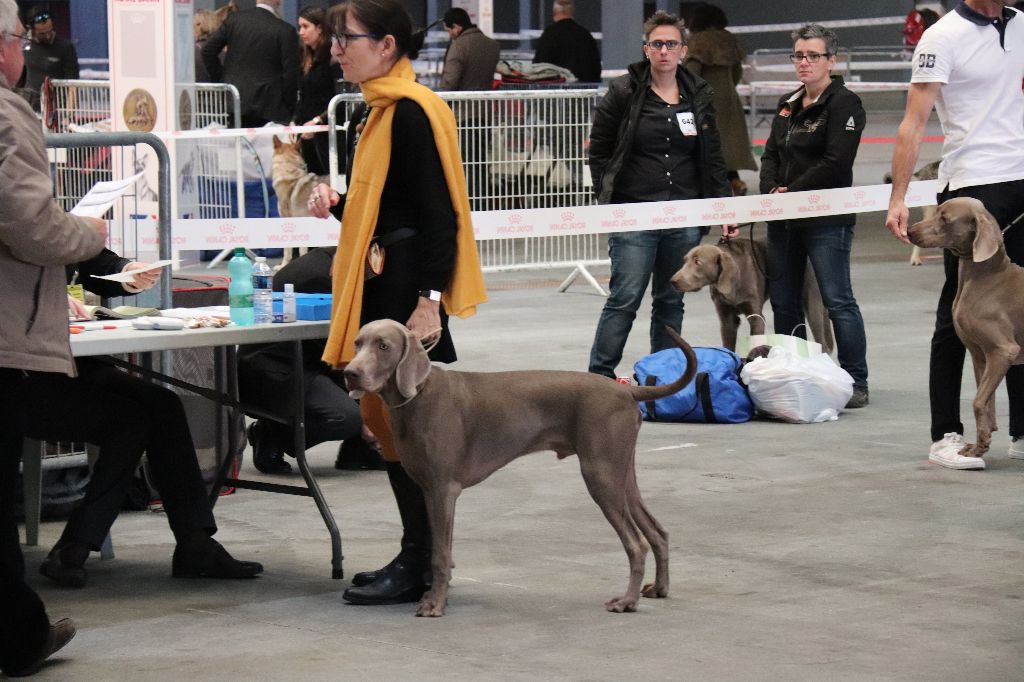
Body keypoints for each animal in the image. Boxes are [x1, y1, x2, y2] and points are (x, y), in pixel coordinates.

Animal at [339, 319, 700, 614]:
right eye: (357, 343)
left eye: (383, 346)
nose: (349, 374)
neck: (419, 395)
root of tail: (627, 391)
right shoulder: (430, 490)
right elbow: (442, 550)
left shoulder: (442, 490)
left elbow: (440, 554)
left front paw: (435, 604)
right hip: (621, 473)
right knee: (658, 531)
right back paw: (660, 587)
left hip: (601, 475)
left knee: (636, 544)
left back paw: (627, 601)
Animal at [671, 237, 831, 352]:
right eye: (685, 261)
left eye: (698, 262)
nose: (673, 281)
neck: (733, 285)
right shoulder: (726, 318)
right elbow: (728, 346)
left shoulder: (756, 316)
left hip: (812, 302)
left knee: (822, 342)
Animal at [909, 193, 1019, 454]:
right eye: (937, 210)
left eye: (945, 218)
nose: (909, 231)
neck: (987, 277)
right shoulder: (980, 354)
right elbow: (985, 401)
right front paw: (981, 442)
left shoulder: (1004, 351)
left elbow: (978, 401)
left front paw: (981, 444)